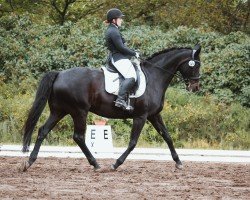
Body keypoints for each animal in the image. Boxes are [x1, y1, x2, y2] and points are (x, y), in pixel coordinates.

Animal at [21, 45, 201, 172]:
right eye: (195, 65)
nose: (195, 87)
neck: (154, 77)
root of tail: (59, 74)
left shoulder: (154, 115)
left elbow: (167, 137)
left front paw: (179, 163)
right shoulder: (141, 116)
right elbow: (133, 142)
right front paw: (116, 164)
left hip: (59, 111)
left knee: (43, 130)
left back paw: (29, 162)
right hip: (79, 111)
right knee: (78, 137)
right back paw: (96, 164)